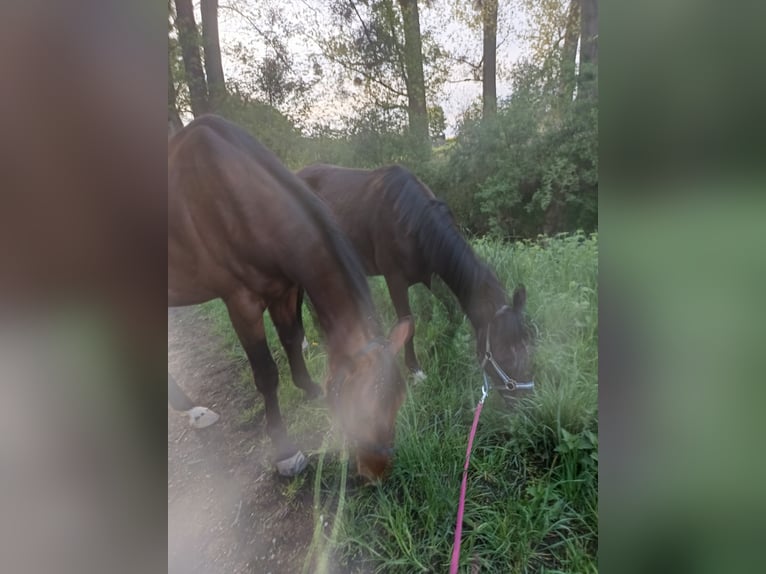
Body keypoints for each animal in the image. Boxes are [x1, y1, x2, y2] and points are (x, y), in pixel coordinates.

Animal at [168, 116, 413, 480]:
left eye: (398, 401)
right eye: (360, 412)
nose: (377, 473)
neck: (240, 202)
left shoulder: (284, 290)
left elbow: (293, 338)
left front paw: (308, 388)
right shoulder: (241, 303)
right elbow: (267, 373)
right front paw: (284, 450)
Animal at [296, 164, 534, 401]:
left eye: (528, 348)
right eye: (505, 356)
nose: (525, 402)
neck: (412, 220)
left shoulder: (429, 276)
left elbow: (453, 313)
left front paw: (441, 344)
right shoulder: (395, 280)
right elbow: (408, 324)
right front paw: (415, 370)